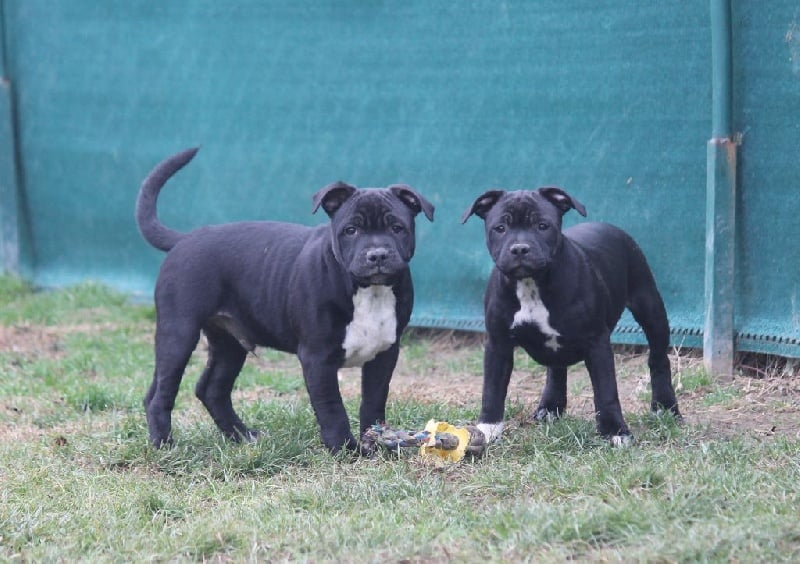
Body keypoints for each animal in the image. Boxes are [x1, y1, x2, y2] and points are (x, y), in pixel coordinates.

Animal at [139, 149, 438, 454]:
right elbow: (332, 407)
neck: (368, 290)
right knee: (162, 391)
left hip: (229, 343)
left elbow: (374, 401)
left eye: (397, 228)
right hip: (179, 332)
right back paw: (164, 444)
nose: (377, 254)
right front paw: (344, 449)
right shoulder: (318, 358)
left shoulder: (385, 353)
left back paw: (242, 436)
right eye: (351, 230)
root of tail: (185, 238)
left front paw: (375, 442)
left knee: (211, 389)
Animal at [462, 189, 680, 446]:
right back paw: (550, 408)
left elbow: (606, 390)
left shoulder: (596, 341)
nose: (520, 248)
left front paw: (615, 431)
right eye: (500, 228)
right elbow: (492, 389)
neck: (531, 284)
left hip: (650, 307)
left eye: (542, 225)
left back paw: (665, 407)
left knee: (658, 359)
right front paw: (487, 428)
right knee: (556, 369)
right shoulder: (498, 342)